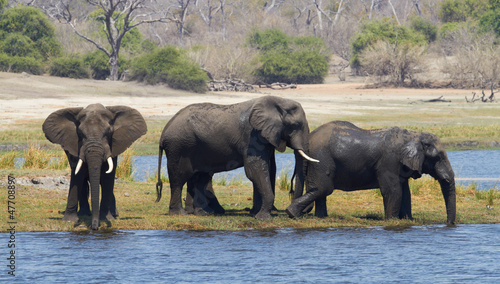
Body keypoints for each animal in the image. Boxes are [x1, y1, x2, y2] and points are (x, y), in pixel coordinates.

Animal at [156, 95, 318, 220]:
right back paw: (179, 214)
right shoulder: (252, 135)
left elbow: (267, 168)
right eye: (295, 125)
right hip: (179, 147)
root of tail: (164, 132)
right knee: (178, 179)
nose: (294, 214)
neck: (279, 101)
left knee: (201, 178)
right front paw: (263, 218)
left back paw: (204, 213)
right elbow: (255, 168)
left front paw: (255, 213)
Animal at [288, 121, 456, 225]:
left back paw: (321, 218)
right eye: (438, 157)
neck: (414, 136)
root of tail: (309, 138)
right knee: (324, 188)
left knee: (320, 190)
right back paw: (292, 214)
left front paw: (407, 220)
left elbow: (405, 192)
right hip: (321, 157)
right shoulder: (389, 161)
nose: (449, 223)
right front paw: (391, 221)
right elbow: (393, 191)